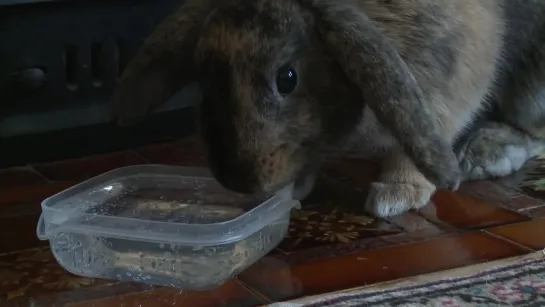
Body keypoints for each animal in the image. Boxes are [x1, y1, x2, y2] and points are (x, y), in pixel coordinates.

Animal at [110, 0, 544, 217]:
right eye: (204, 75)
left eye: (287, 78)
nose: (236, 180)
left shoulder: (448, 72)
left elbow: (420, 139)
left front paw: (395, 196)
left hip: (533, 91)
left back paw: (485, 152)